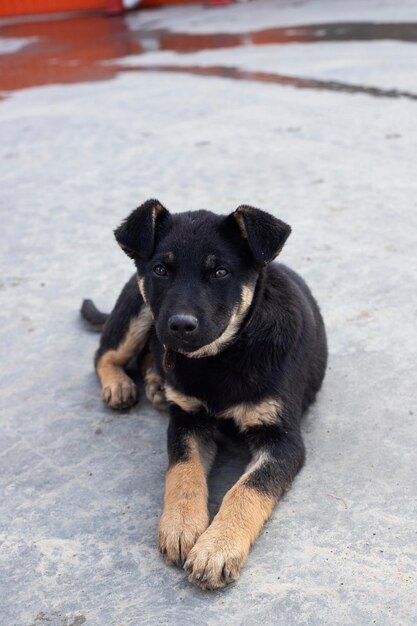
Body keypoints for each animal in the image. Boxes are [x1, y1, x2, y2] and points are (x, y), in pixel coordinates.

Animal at [81, 200, 326, 588]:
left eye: (220, 272)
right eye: (161, 270)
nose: (181, 326)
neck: (223, 357)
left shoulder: (283, 440)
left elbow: (247, 488)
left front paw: (217, 547)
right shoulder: (187, 420)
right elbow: (184, 472)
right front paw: (181, 526)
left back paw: (155, 382)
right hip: (140, 310)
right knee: (106, 354)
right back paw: (121, 384)